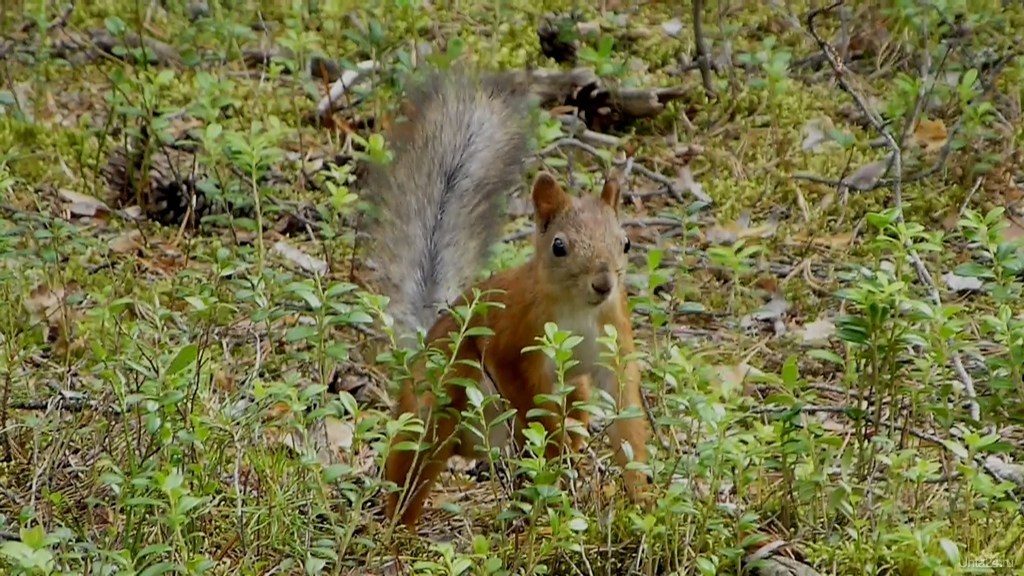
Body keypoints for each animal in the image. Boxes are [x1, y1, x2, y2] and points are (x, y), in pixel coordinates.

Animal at [364, 69, 651, 528]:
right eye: (559, 246)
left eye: (625, 243)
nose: (604, 284)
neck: (578, 311)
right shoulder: (513, 333)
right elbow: (521, 388)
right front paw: (551, 442)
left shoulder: (613, 337)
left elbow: (625, 407)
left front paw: (641, 495)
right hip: (436, 404)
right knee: (412, 465)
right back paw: (398, 529)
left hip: (573, 391)